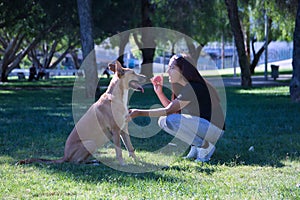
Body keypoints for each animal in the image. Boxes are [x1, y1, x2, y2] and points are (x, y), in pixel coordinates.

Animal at [17, 60, 146, 166]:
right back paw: (92, 163)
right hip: (90, 143)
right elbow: (119, 151)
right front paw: (123, 164)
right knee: (77, 162)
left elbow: (130, 148)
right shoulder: (115, 130)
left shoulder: (123, 129)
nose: (146, 77)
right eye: (133, 72)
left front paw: (137, 162)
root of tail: (65, 156)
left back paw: (94, 161)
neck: (116, 97)